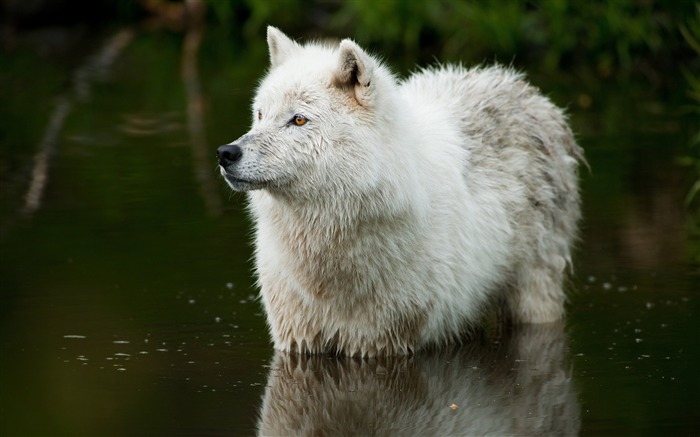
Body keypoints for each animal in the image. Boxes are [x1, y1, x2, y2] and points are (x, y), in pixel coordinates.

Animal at [216, 25, 584, 356]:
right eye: (260, 115)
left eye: (299, 120)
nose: (226, 153)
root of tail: (523, 87)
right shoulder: (296, 339)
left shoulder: (385, 342)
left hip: (534, 297)